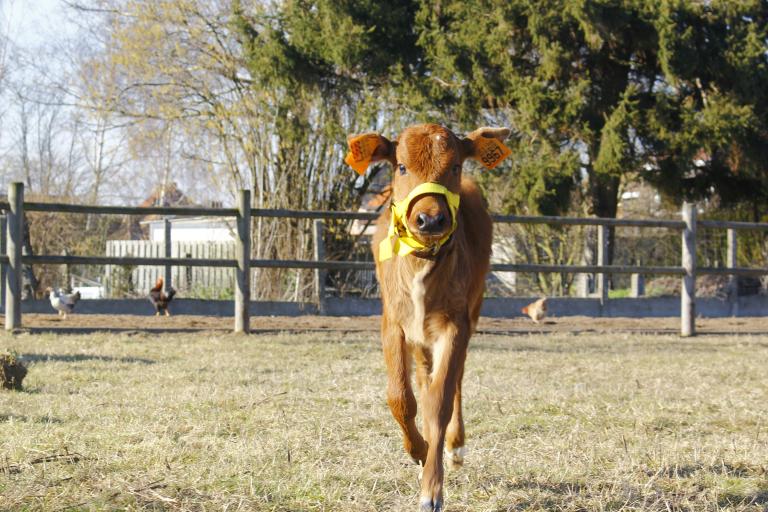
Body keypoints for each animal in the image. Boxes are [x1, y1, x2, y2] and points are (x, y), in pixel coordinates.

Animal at [344, 124, 508, 512]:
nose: (430, 218)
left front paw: (431, 488)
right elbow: (400, 398)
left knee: (454, 380)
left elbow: (439, 402)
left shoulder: (456, 323)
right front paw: (417, 450)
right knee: (421, 375)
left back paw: (455, 445)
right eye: (402, 166)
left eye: (455, 166)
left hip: (473, 309)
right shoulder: (393, 322)